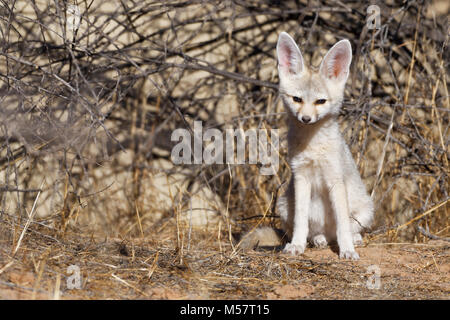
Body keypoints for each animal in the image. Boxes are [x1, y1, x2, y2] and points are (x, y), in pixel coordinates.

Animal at [239, 31, 372, 260]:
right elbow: (301, 221)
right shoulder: (301, 176)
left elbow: (343, 224)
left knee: (347, 229)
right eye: (297, 99)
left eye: (320, 101)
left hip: (366, 208)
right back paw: (318, 240)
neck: (313, 148)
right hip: (285, 206)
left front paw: (347, 249)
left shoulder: (335, 180)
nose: (306, 119)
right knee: (315, 233)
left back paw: (353, 240)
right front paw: (296, 245)